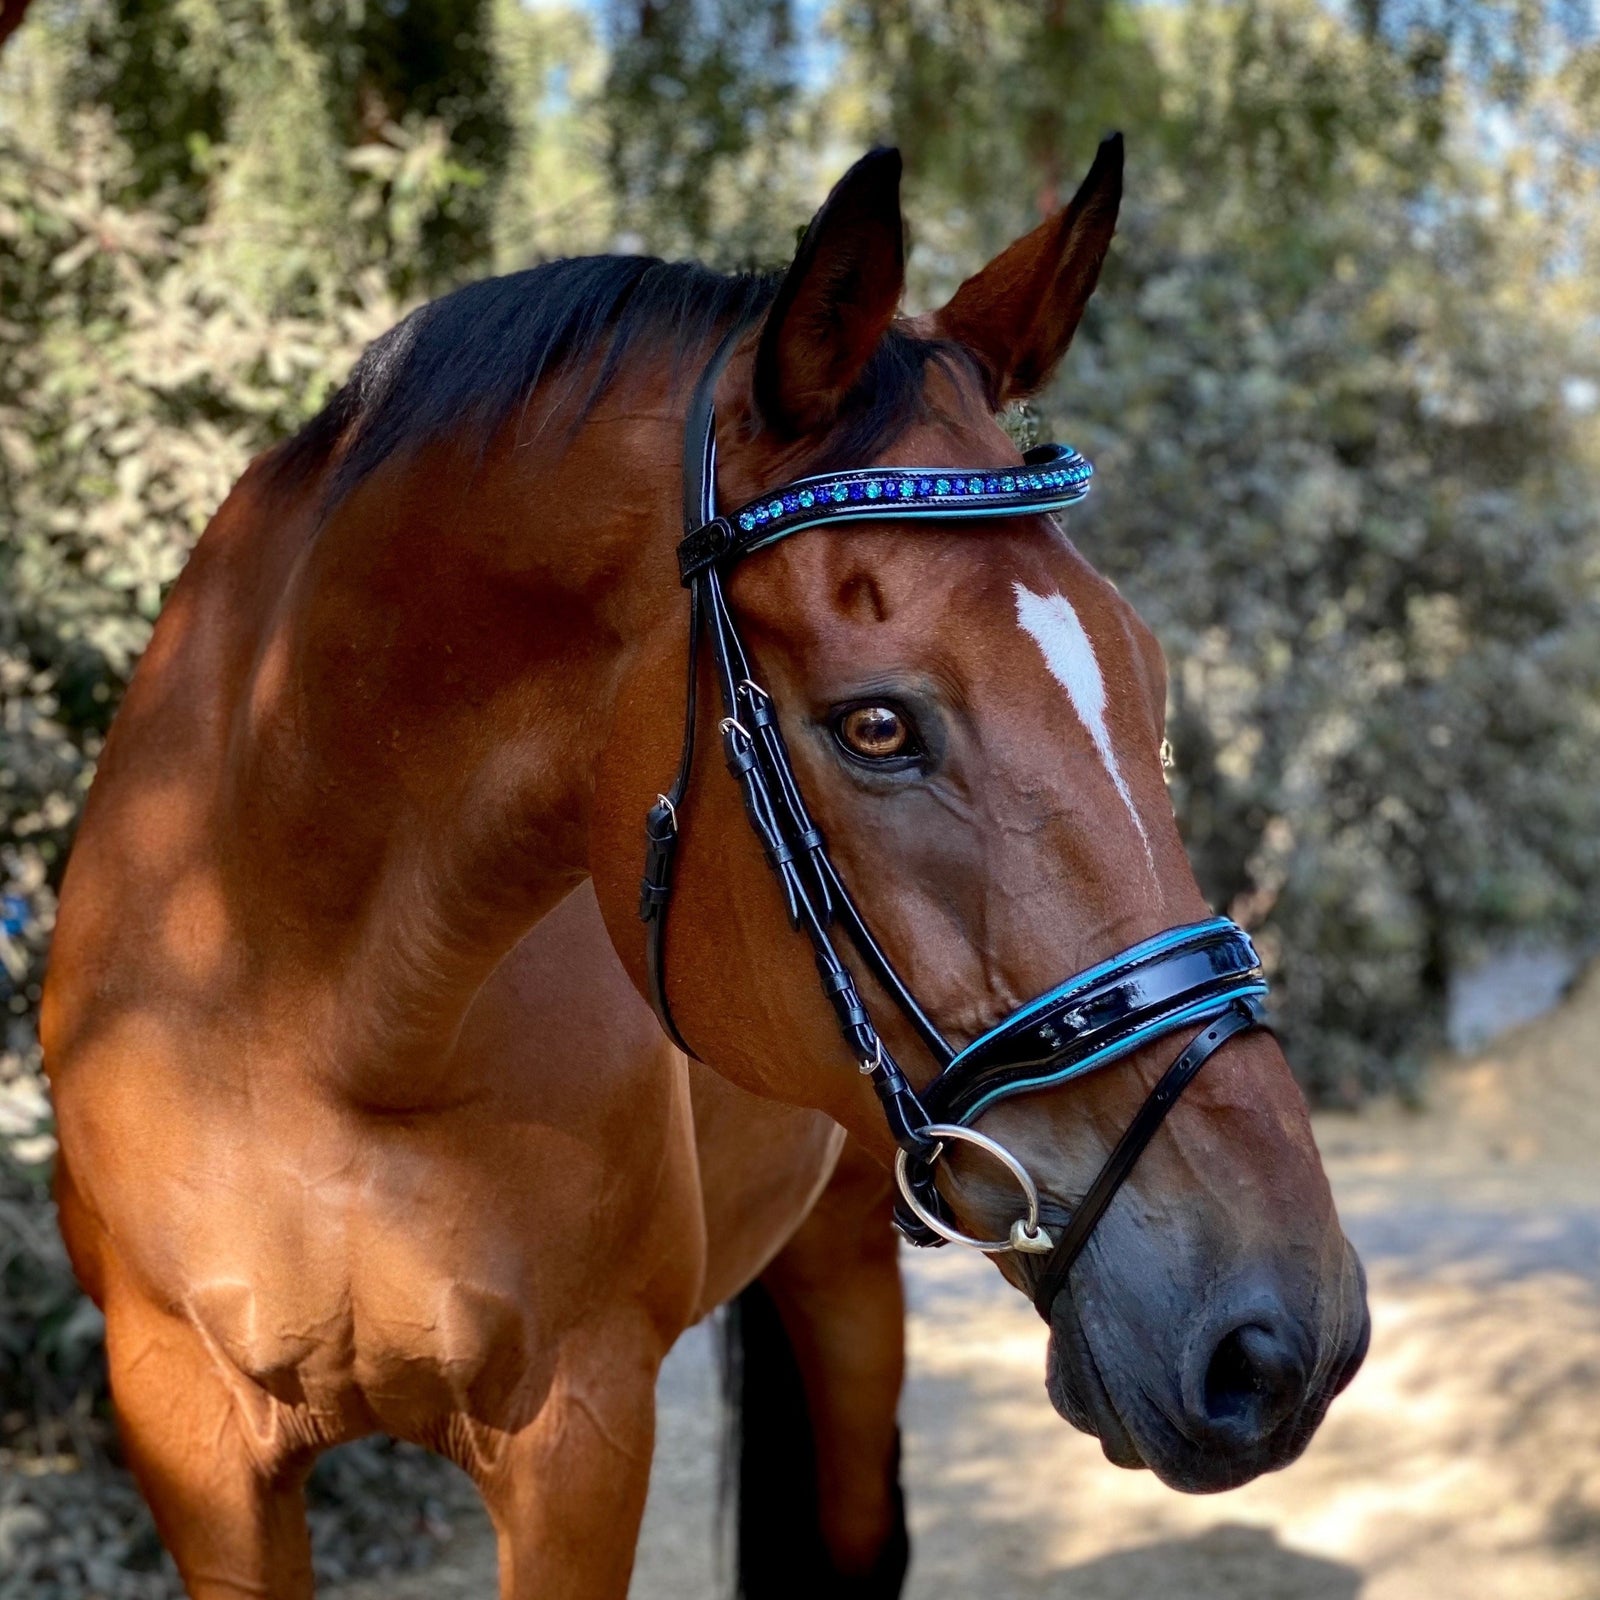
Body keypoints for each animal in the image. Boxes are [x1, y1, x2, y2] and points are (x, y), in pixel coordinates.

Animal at [43, 140, 1369, 1600]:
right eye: (876, 726)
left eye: (1147, 682)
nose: (1284, 1337)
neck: (304, 1010)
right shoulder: (190, 1436)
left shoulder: (580, 1430)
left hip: (844, 1255)